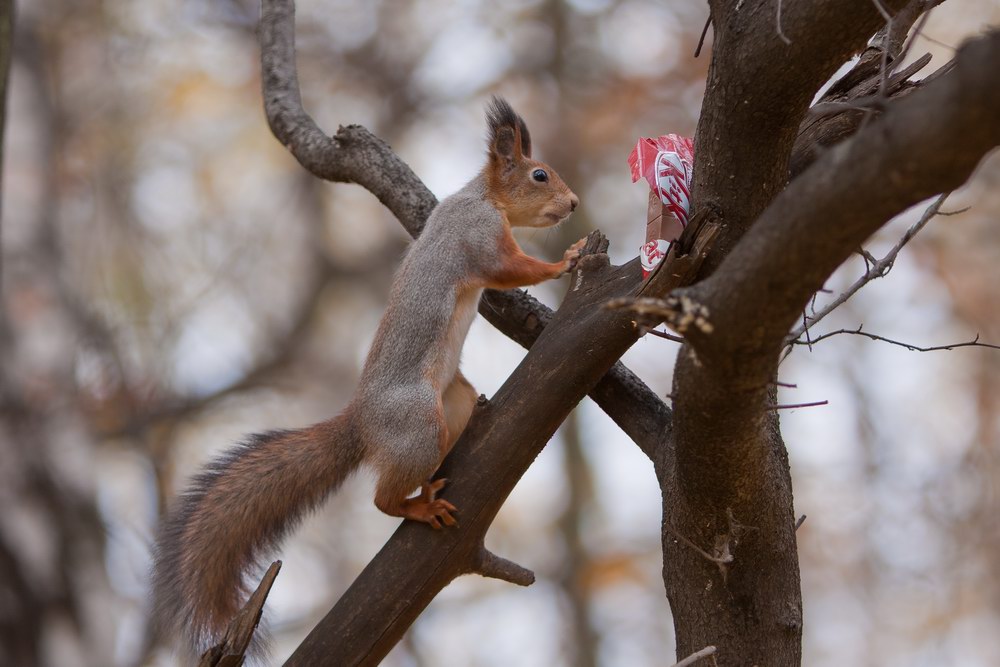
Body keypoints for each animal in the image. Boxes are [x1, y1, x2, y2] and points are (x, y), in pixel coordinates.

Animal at [150, 96, 584, 656]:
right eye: (539, 174)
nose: (574, 204)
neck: (481, 197)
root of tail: (362, 422)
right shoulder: (479, 236)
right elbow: (510, 269)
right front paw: (564, 262)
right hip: (417, 424)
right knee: (381, 500)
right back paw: (417, 508)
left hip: (451, 404)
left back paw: (434, 483)